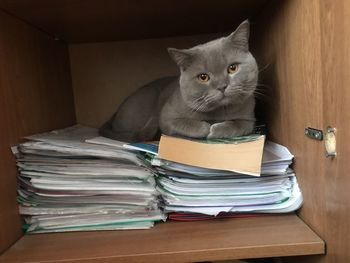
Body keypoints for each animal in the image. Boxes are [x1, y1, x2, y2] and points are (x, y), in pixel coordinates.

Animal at [100, 20, 258, 142]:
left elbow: (239, 126)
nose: (222, 86)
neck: (219, 112)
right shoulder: (166, 116)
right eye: (203, 77)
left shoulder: (249, 119)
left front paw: (217, 129)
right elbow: (183, 123)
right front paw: (205, 127)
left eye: (232, 68)